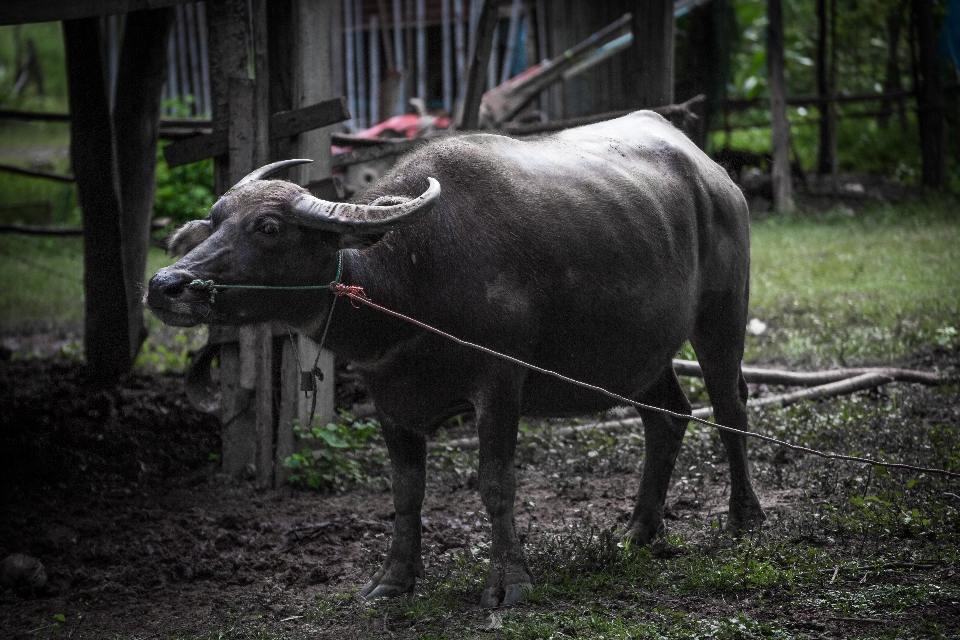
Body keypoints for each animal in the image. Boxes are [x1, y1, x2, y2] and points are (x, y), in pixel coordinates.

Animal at [146, 112, 764, 608]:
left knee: (730, 407)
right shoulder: (389, 397)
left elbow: (495, 482)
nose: (165, 285)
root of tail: (715, 176)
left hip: (722, 314)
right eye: (214, 218)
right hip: (639, 351)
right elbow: (405, 491)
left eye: (269, 226)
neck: (413, 277)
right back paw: (638, 529)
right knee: (667, 416)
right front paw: (392, 580)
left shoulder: (501, 381)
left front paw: (509, 582)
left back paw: (744, 518)